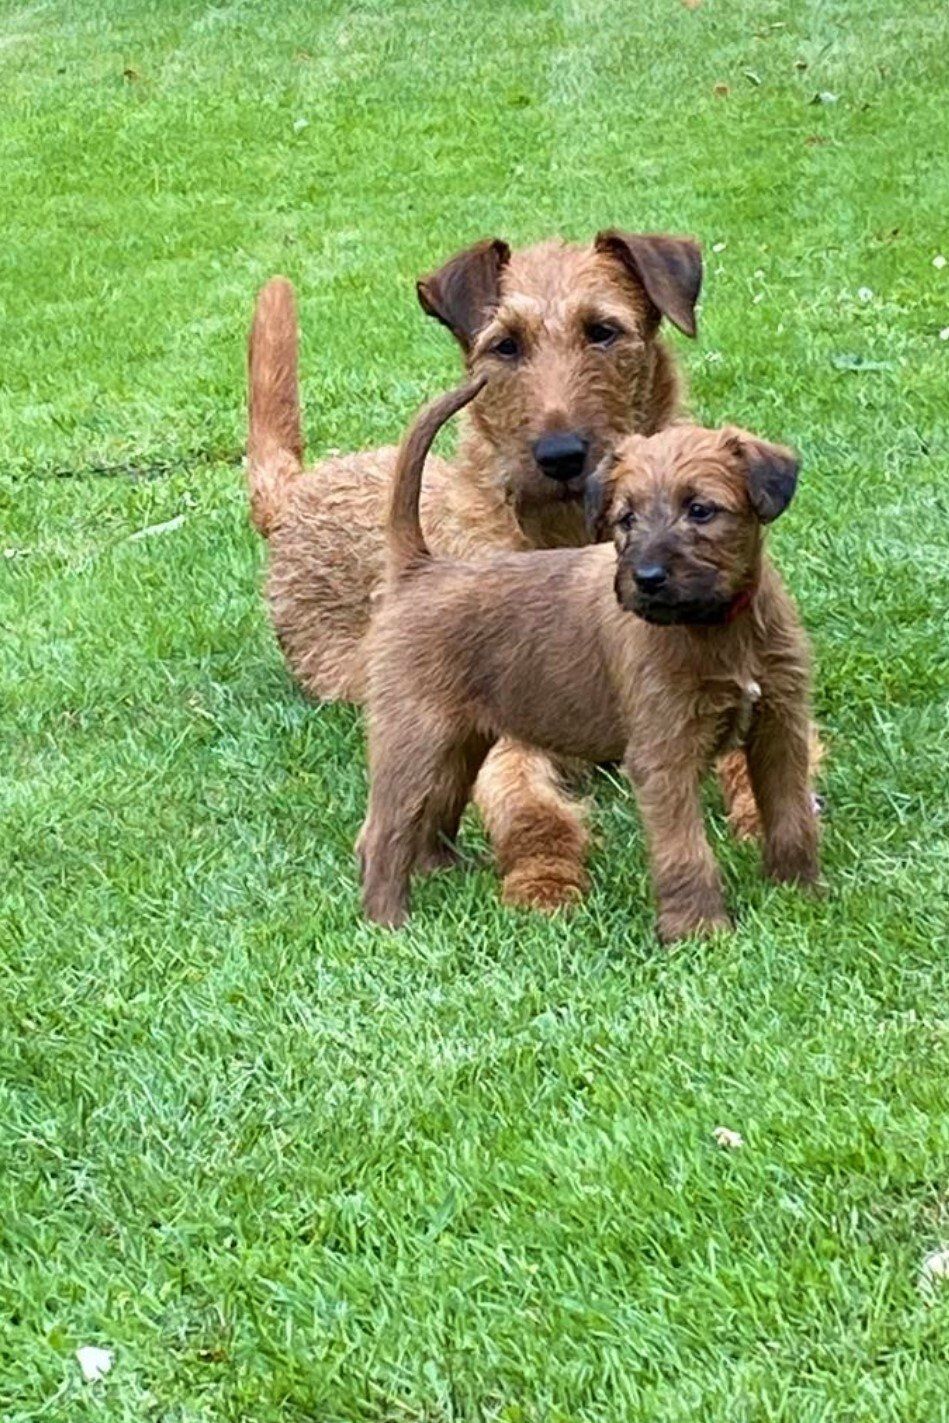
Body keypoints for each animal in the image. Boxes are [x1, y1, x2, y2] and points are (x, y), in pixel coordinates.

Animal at [357, 378, 820, 942]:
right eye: (627, 519)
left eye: (701, 510)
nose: (646, 578)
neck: (719, 627)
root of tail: (419, 570)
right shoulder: (665, 751)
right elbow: (685, 849)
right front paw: (698, 929)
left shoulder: (780, 728)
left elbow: (792, 815)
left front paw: (799, 892)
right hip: (413, 738)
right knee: (383, 831)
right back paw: (389, 923)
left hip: (459, 741)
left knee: (435, 806)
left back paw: (442, 870)